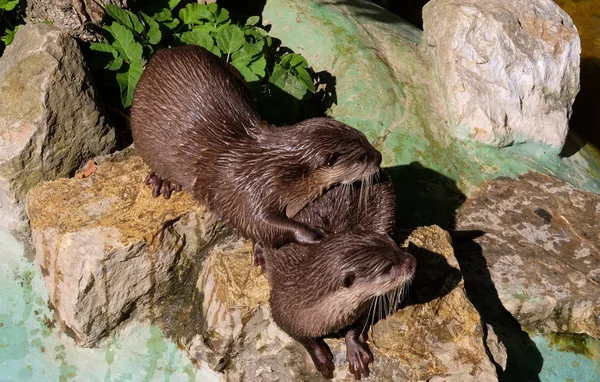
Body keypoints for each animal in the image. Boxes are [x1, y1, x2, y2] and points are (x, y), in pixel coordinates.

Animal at [131, 45, 384, 248]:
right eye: (362, 157)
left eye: (367, 140)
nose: (379, 156)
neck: (272, 169)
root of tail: (161, 54)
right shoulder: (245, 192)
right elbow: (257, 223)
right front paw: (313, 232)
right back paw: (162, 181)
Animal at [262, 181, 418, 380]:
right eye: (388, 267)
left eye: (393, 245)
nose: (412, 261)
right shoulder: (281, 306)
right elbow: (301, 336)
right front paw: (320, 357)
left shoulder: (363, 305)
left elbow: (358, 325)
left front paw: (355, 351)